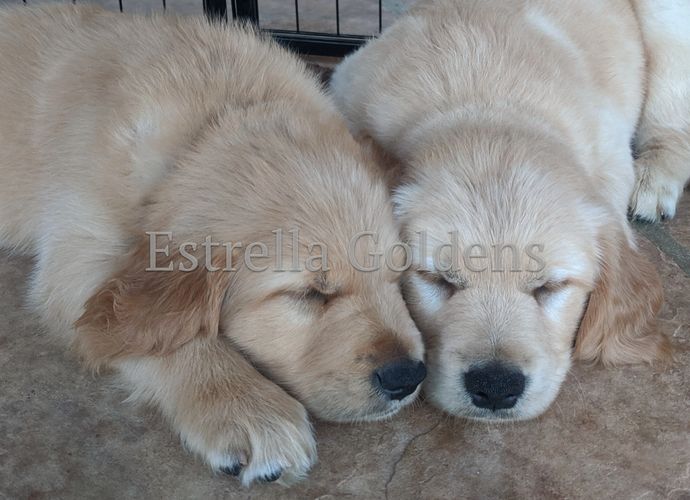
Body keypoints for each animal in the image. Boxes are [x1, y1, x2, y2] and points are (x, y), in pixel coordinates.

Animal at [0, 5, 424, 486]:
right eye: (308, 293)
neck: (213, 115)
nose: (408, 376)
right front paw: (246, 407)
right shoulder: (78, 254)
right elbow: (165, 331)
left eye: (395, 277)